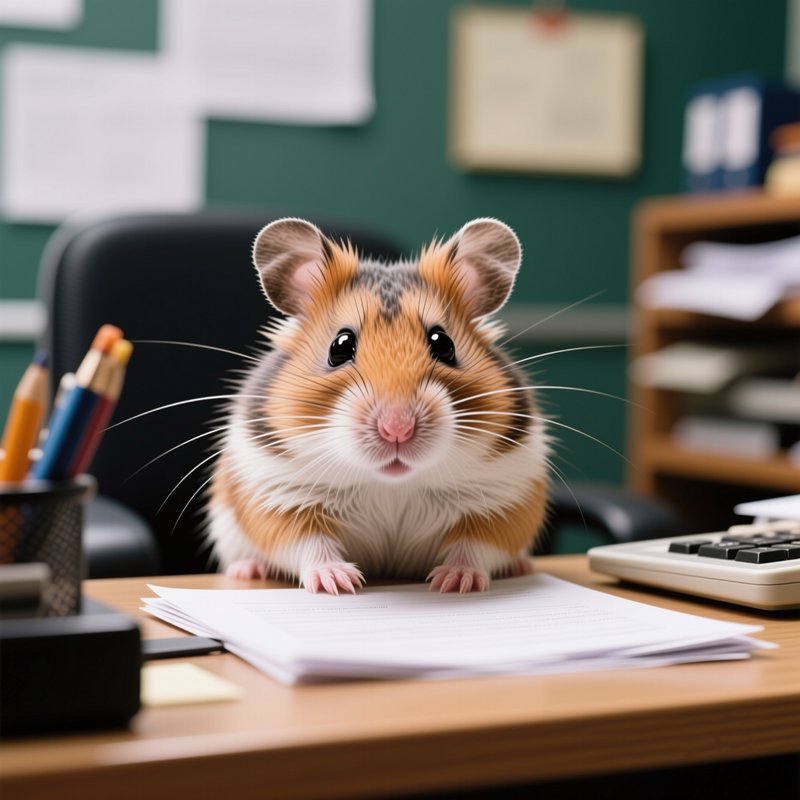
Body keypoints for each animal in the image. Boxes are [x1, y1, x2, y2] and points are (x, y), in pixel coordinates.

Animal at [207, 217, 551, 594]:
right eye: (340, 346)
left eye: (443, 344)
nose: (396, 428)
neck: (391, 485)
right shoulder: (278, 494)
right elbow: (307, 542)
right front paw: (338, 582)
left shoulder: (505, 498)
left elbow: (475, 545)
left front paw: (456, 582)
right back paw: (248, 570)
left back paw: (520, 566)